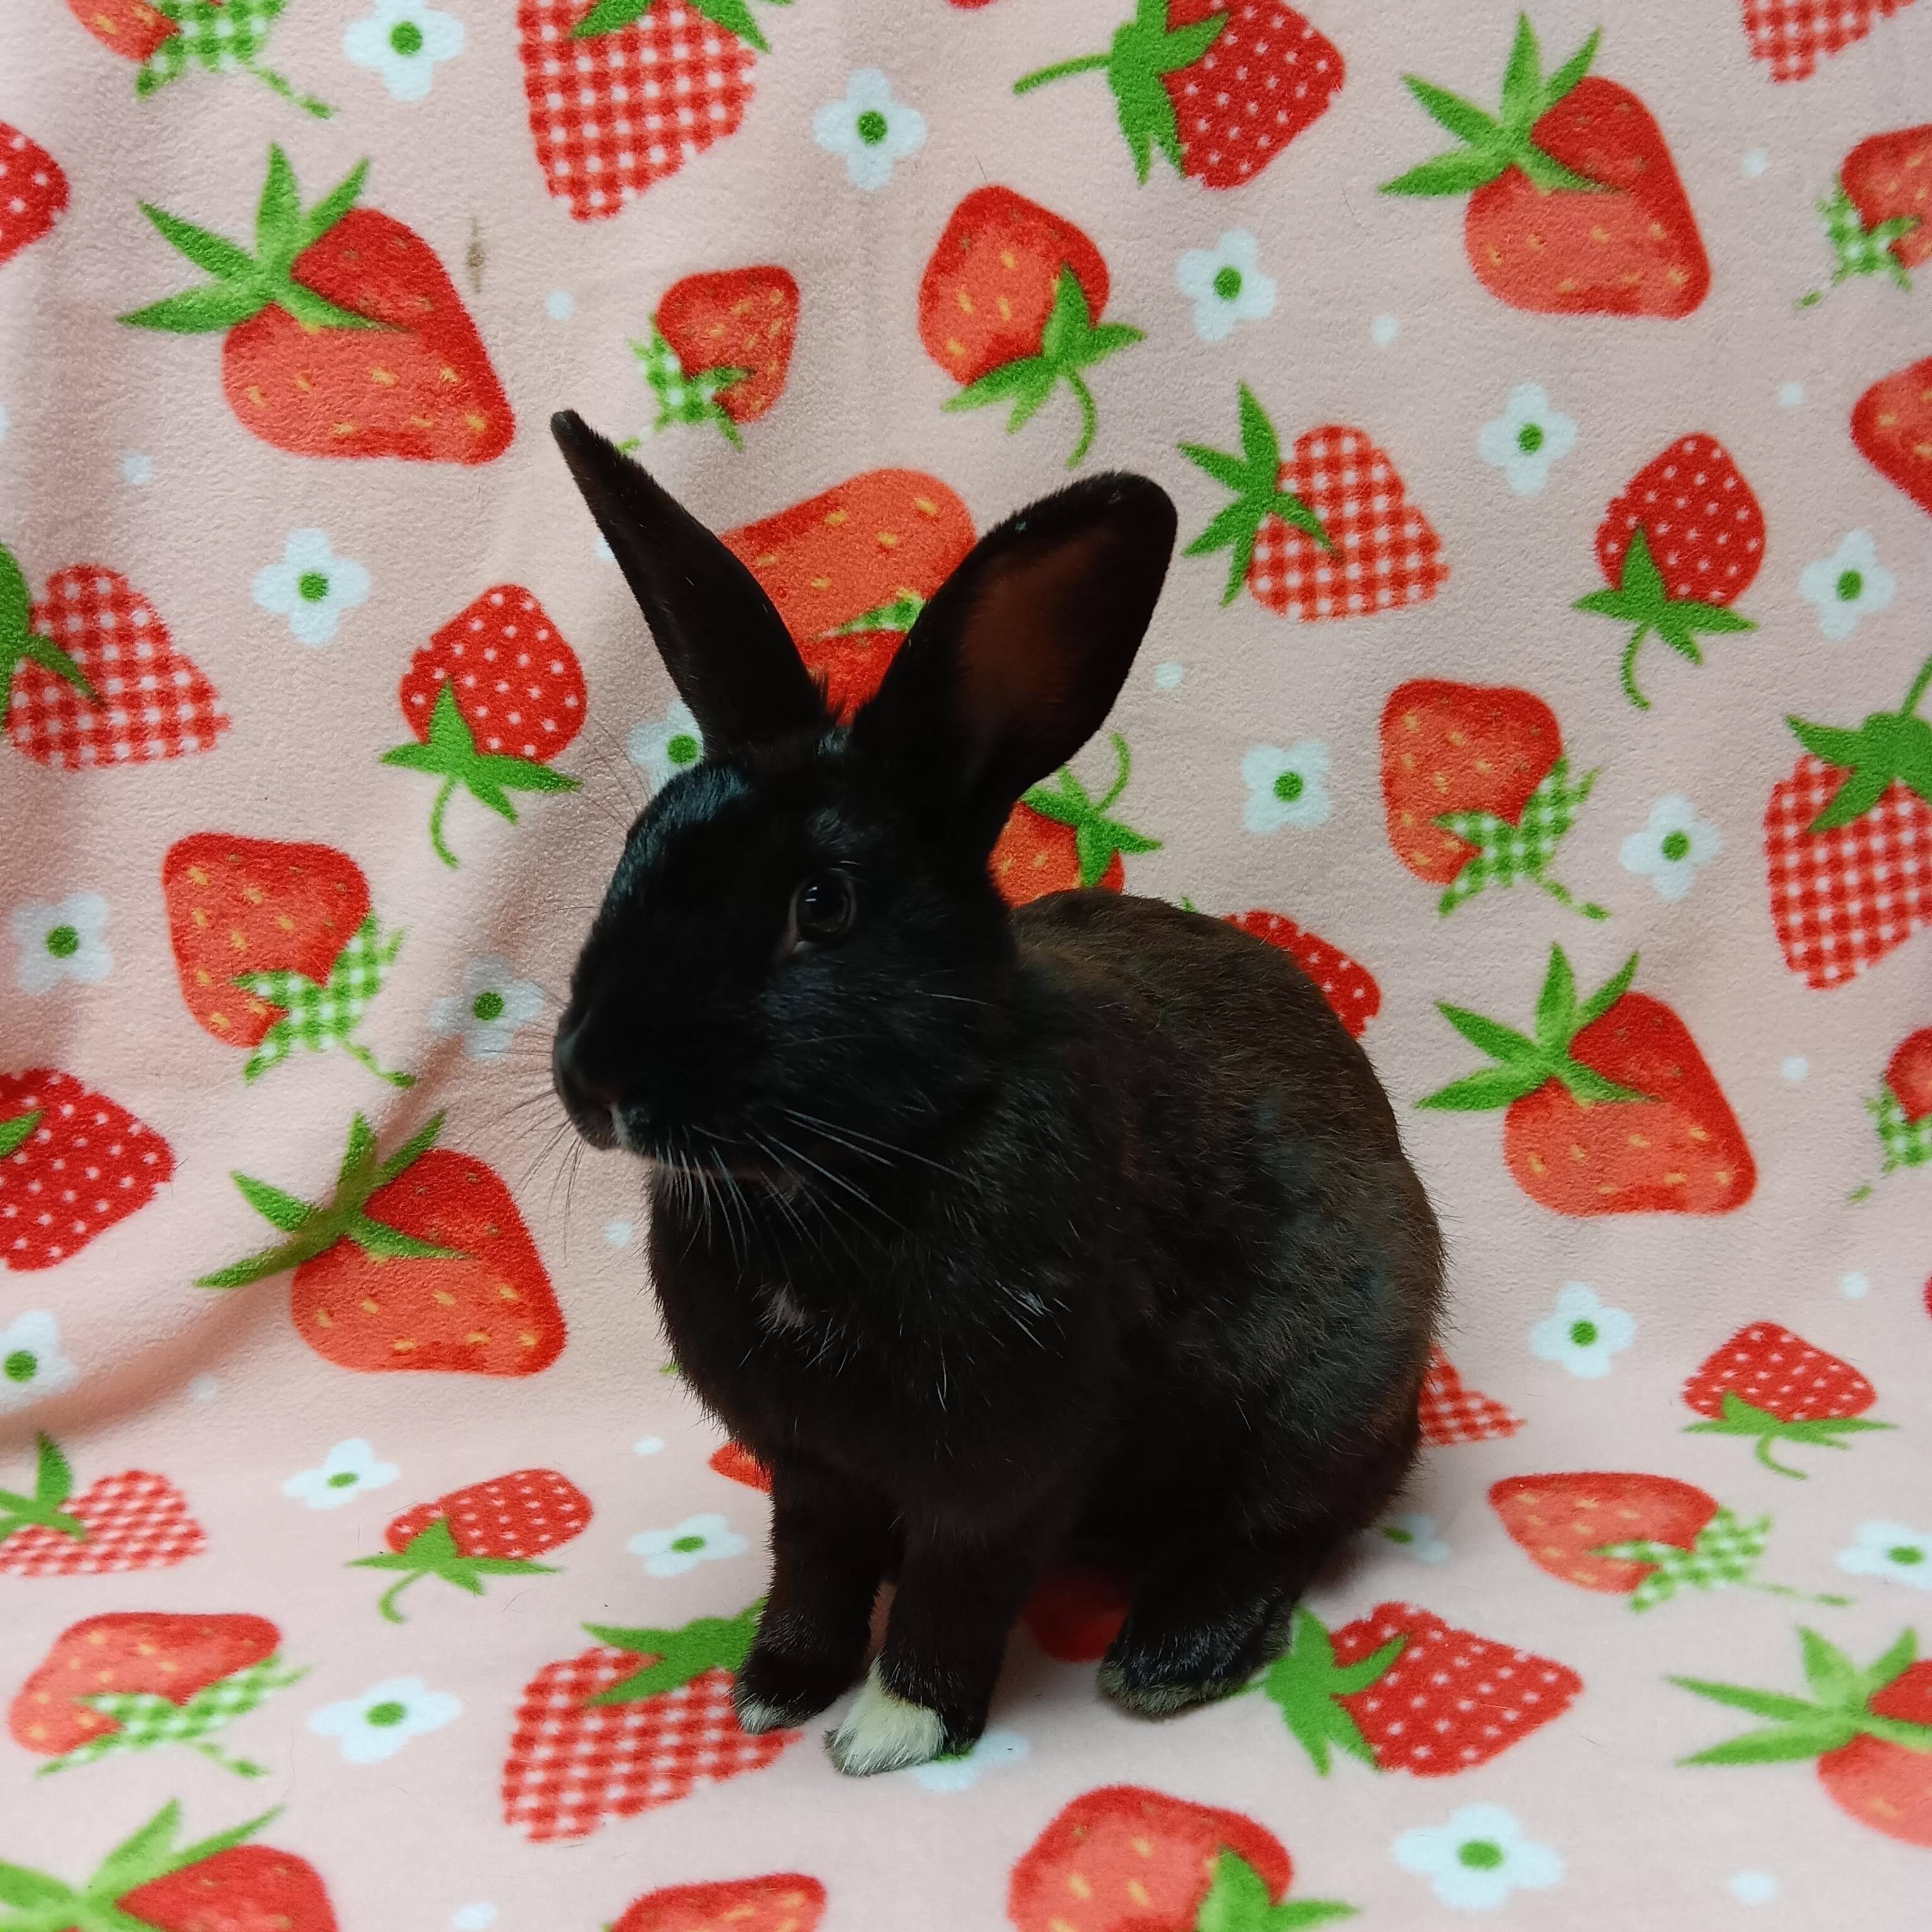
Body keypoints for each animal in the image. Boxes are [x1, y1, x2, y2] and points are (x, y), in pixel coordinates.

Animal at [548, 410, 1444, 1777]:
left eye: (823, 905)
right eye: (630, 856)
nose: (595, 1079)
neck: (869, 1162)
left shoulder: (1005, 1461)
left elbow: (955, 1589)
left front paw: (889, 1728)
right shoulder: (811, 1467)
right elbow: (812, 1566)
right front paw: (775, 1686)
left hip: (1319, 1389)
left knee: (1286, 1520)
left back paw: (1169, 1656)